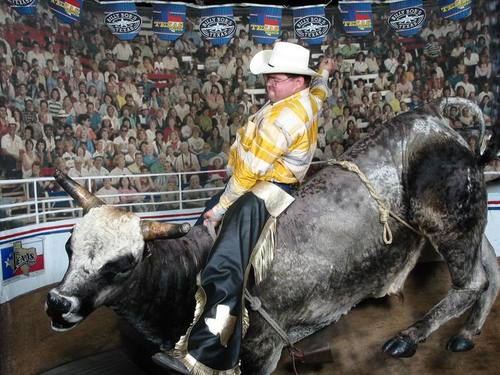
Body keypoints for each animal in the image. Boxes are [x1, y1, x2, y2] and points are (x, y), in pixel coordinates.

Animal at [47, 98, 500, 374]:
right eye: (69, 246)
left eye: (122, 264)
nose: (57, 303)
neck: (190, 276)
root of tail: (433, 118)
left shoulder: (264, 348)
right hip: (468, 217)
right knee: (490, 269)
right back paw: (466, 334)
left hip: (445, 216)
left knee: (471, 280)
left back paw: (408, 337)